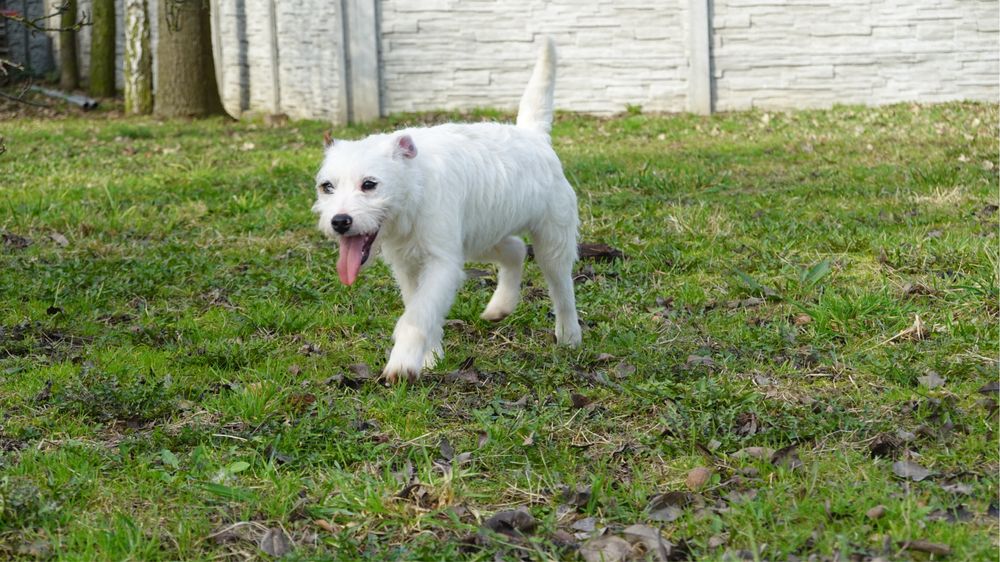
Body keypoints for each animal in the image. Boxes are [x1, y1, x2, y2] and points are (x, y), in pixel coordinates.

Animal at [310, 39, 580, 380]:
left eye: (369, 184)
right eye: (327, 187)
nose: (340, 221)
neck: (414, 187)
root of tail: (534, 136)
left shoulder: (441, 264)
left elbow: (418, 315)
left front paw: (403, 363)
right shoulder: (409, 266)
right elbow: (420, 308)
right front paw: (431, 356)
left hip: (552, 239)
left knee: (560, 285)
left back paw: (569, 335)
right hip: (480, 237)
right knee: (515, 249)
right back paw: (501, 305)